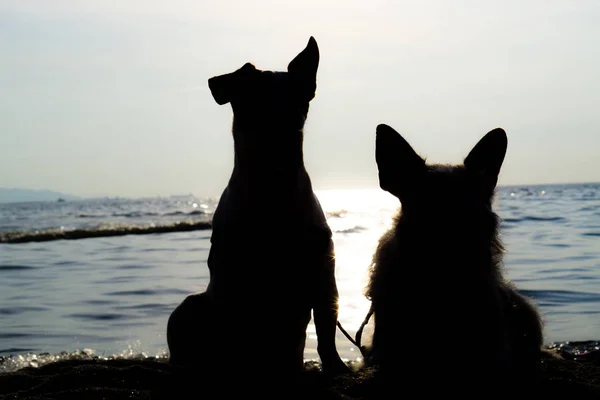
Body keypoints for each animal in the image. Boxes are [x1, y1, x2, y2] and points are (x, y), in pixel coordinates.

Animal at [166, 36, 350, 380]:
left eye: (299, 98)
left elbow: (326, 327)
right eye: (257, 98)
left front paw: (335, 367)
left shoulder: (322, 271)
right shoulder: (235, 276)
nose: (289, 117)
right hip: (191, 307)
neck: (273, 182)